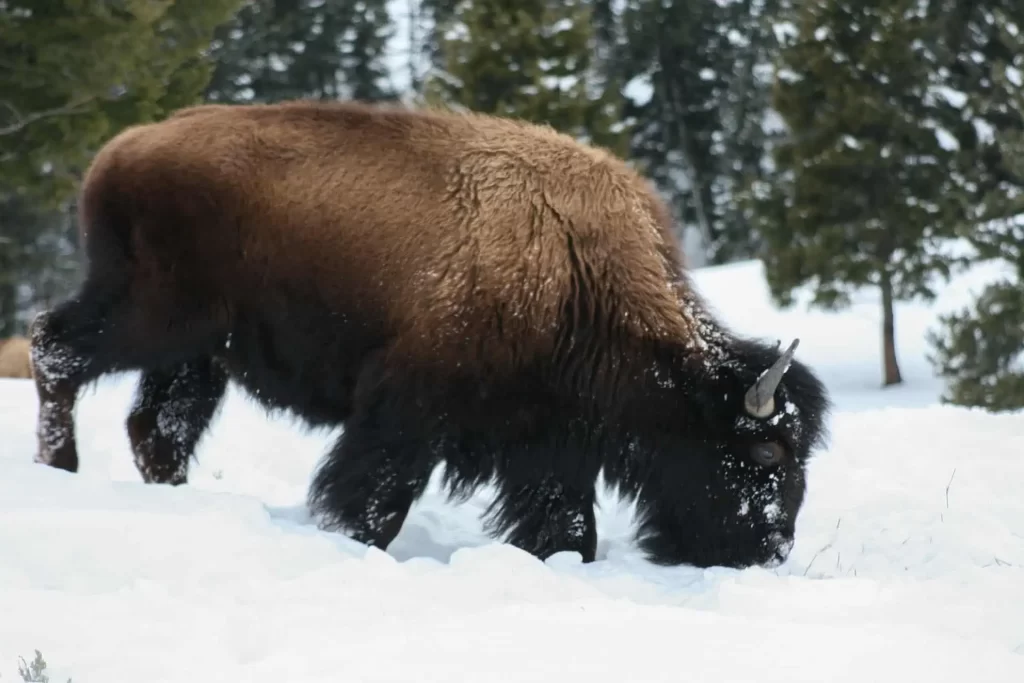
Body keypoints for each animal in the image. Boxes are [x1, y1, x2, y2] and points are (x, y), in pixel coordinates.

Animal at [29, 98, 831, 569]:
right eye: (765, 451)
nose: (772, 547)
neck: (578, 265)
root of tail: (122, 149)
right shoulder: (409, 411)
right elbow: (375, 497)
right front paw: (355, 545)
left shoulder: (550, 440)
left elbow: (567, 523)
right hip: (150, 316)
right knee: (53, 348)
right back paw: (58, 468)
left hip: (197, 355)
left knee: (155, 428)